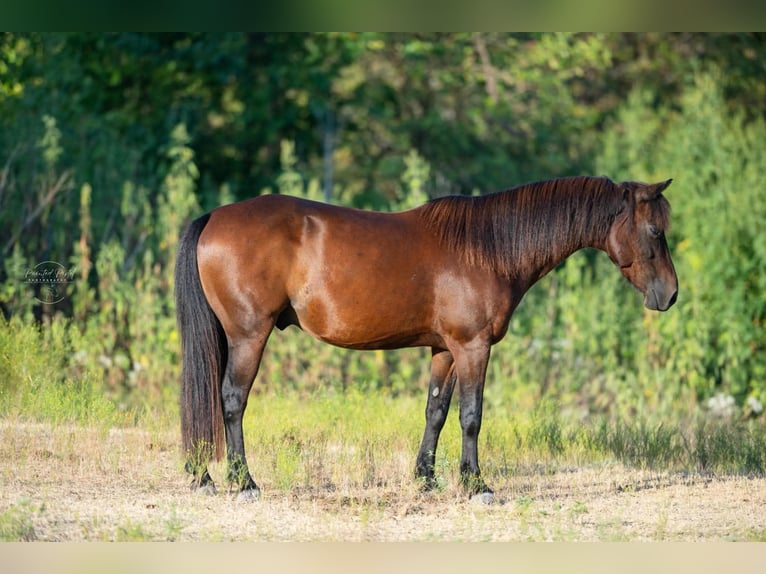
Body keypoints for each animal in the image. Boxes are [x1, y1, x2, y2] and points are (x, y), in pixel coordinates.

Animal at [174, 175, 678, 501]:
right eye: (655, 231)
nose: (670, 294)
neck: (487, 249)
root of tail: (214, 217)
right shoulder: (473, 347)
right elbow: (471, 416)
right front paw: (475, 484)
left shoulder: (445, 350)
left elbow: (435, 411)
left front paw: (426, 479)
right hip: (248, 335)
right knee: (232, 400)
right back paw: (244, 482)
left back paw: (204, 477)